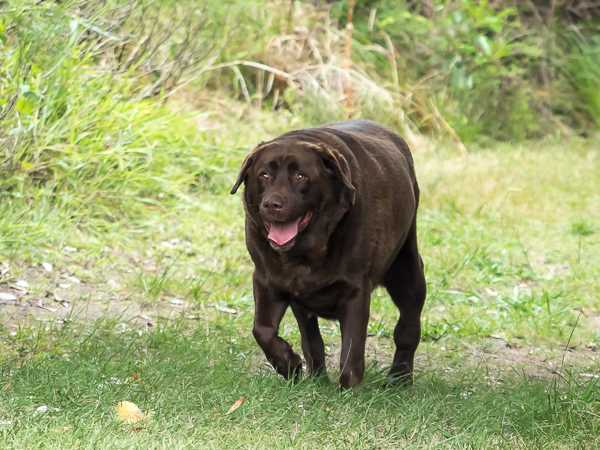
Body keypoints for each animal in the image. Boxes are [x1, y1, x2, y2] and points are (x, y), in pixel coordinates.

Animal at [231, 121, 426, 388]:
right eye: (264, 175)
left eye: (300, 176)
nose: (272, 204)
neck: (305, 252)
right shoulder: (267, 281)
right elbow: (263, 330)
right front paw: (289, 364)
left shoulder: (355, 291)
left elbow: (351, 351)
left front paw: (348, 390)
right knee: (311, 339)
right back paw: (316, 375)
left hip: (407, 272)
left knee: (408, 328)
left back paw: (399, 378)